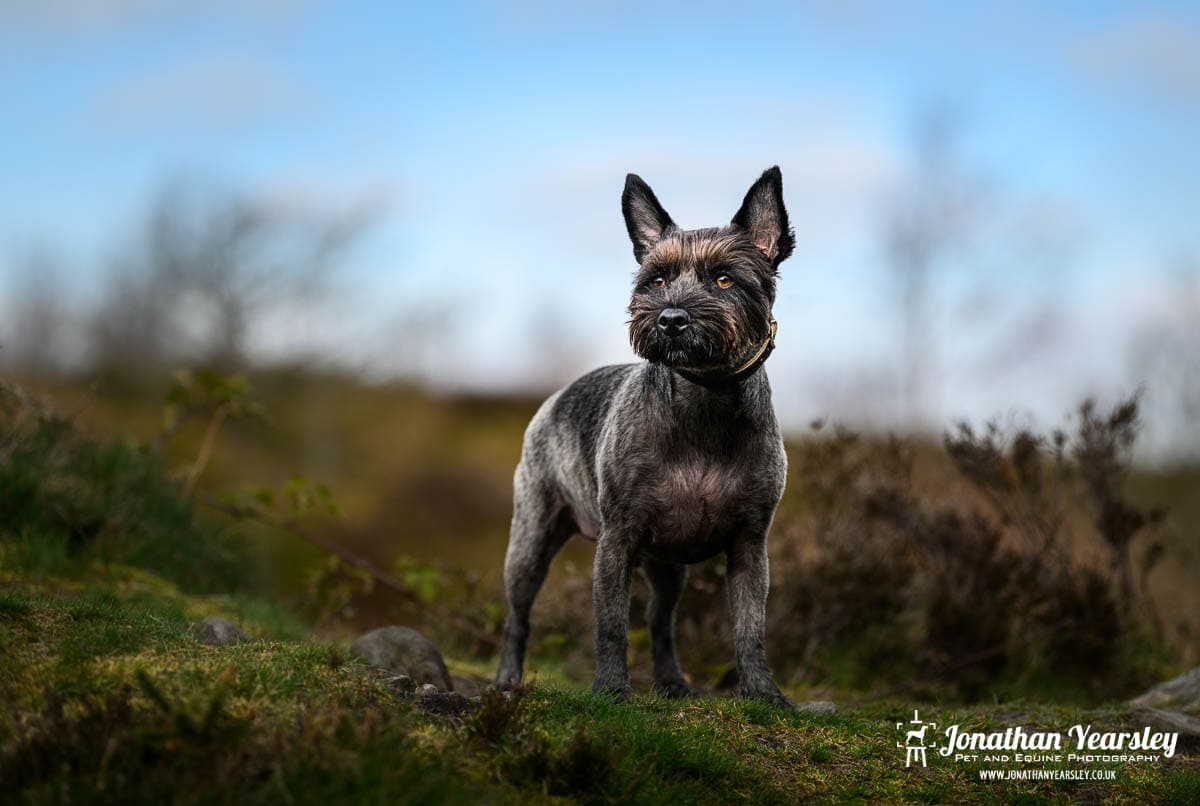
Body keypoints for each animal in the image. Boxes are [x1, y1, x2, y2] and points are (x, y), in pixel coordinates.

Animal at [496, 167, 796, 705]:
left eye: (724, 278)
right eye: (656, 280)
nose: (670, 317)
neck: (703, 405)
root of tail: (553, 398)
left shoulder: (749, 545)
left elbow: (750, 628)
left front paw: (763, 693)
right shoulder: (618, 541)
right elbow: (612, 625)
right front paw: (611, 690)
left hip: (668, 566)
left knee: (661, 621)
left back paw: (672, 681)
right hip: (530, 542)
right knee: (517, 617)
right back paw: (508, 678)